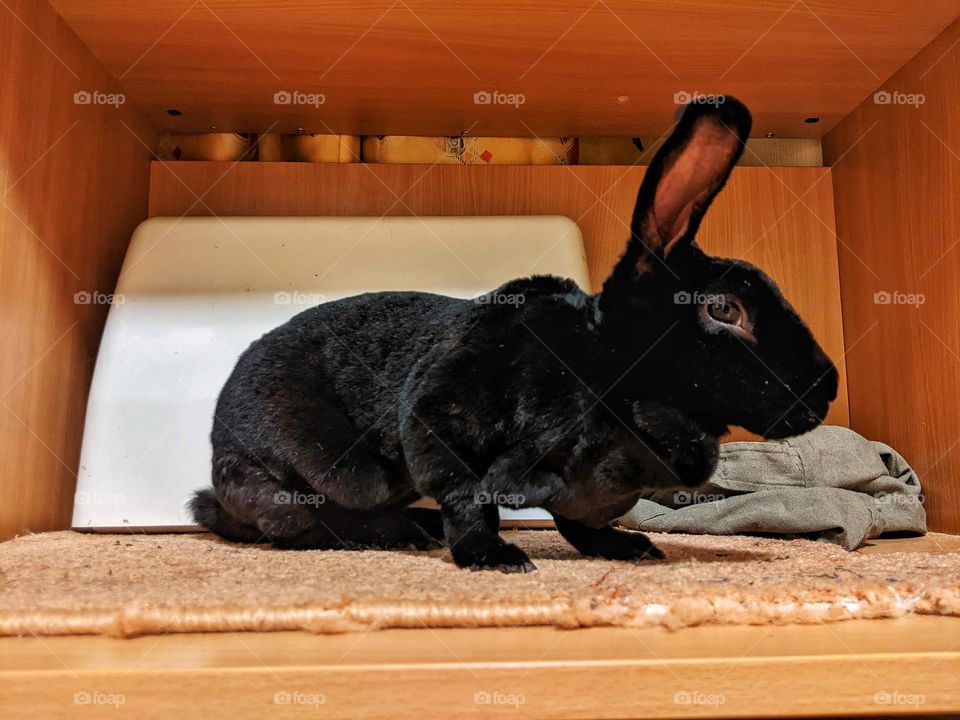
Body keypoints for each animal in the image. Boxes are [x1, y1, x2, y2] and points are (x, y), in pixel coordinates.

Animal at [191, 98, 836, 572]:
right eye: (724, 309)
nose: (827, 387)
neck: (609, 374)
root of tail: (218, 454)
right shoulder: (441, 423)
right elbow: (471, 498)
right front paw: (495, 558)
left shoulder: (586, 493)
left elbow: (579, 520)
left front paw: (626, 548)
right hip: (347, 474)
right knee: (296, 524)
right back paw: (399, 532)